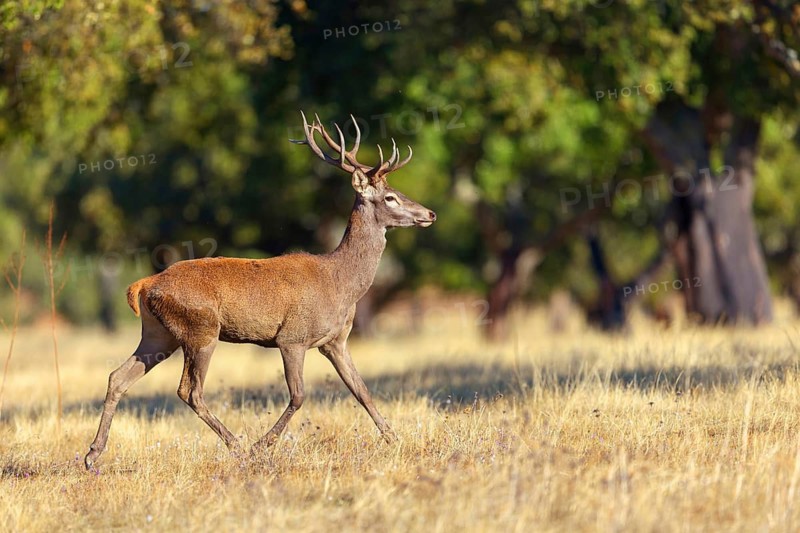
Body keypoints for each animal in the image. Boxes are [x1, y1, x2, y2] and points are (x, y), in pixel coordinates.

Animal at [84, 112, 437, 470]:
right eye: (390, 197)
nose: (430, 213)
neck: (341, 285)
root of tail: (144, 285)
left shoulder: (335, 341)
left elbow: (362, 390)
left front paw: (395, 438)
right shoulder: (292, 337)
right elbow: (299, 395)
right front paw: (260, 446)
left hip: (159, 334)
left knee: (118, 377)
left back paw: (92, 454)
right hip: (201, 329)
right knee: (189, 391)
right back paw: (237, 445)